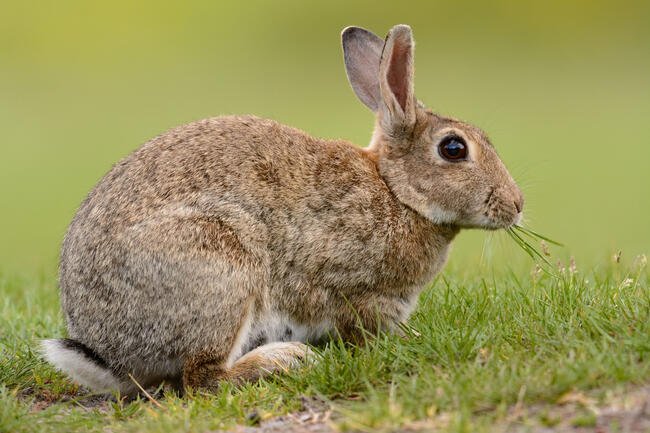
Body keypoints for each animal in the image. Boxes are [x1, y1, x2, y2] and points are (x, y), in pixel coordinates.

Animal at [41, 24, 520, 394]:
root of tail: (110, 357)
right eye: (454, 149)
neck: (396, 191)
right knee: (202, 379)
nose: (516, 205)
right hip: (223, 269)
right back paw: (285, 359)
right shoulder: (350, 286)